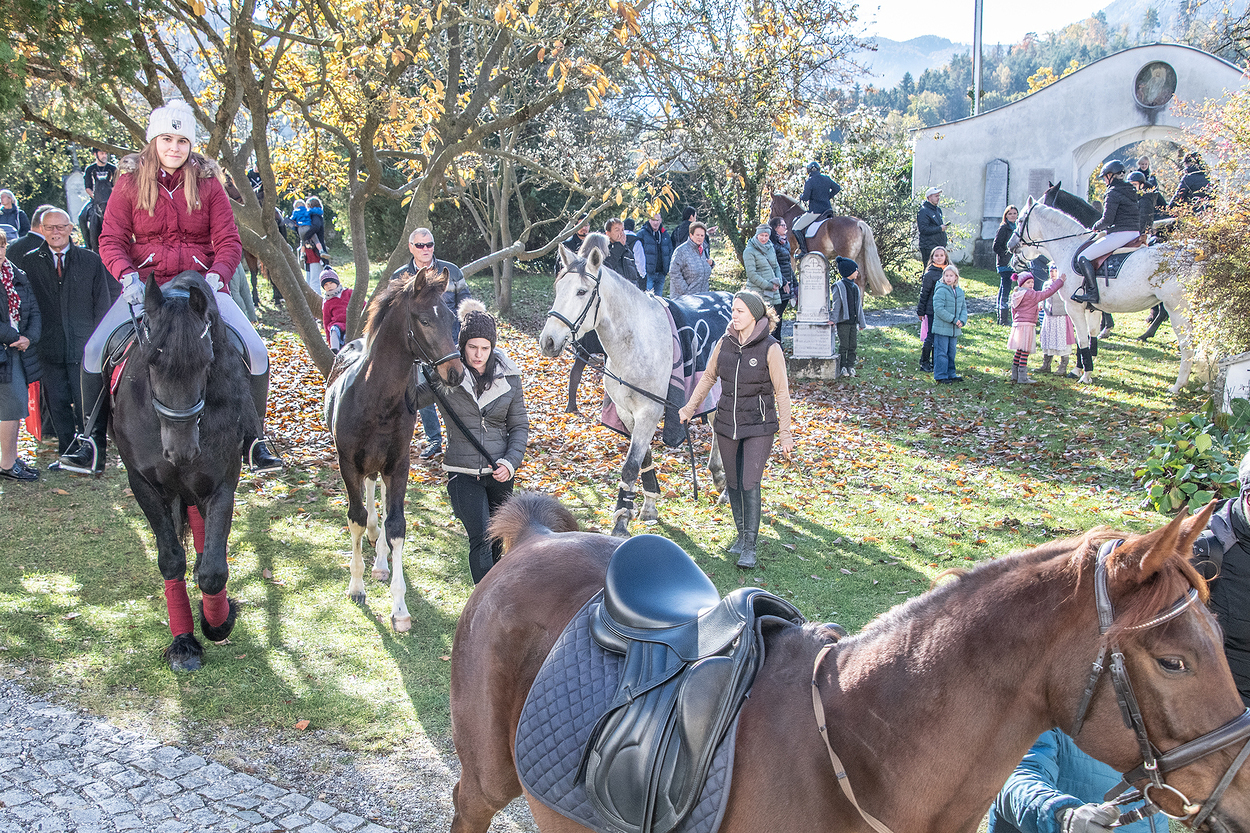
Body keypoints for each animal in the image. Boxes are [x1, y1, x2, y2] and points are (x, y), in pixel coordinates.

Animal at [111, 272, 251, 672]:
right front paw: (184, 642)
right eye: (152, 360)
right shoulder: (144, 484)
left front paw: (218, 620)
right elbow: (171, 559)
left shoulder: (222, 483)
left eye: (207, 361)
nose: (182, 450)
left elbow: (214, 571)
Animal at [324, 265, 464, 631]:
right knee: (368, 498)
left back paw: (382, 560)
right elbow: (356, 518)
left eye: (451, 318)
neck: (376, 399)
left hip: (383, 464)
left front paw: (399, 608)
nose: (455, 373)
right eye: (424, 320)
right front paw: (356, 586)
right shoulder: (347, 464)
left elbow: (397, 525)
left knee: (380, 496)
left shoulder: (399, 465)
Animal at [539, 236, 727, 538]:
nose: (548, 341)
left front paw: (621, 521)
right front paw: (649, 505)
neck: (636, 343)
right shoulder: (628, 413)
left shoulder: (649, 413)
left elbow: (630, 467)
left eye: (581, 291)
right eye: (559, 288)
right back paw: (719, 477)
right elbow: (644, 460)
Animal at [1009, 196, 1198, 393]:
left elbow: (1082, 340)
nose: (1010, 246)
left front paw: (1085, 376)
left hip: (1177, 310)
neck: (1068, 247)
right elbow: (1090, 337)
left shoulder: (1074, 308)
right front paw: (1079, 370)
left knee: (1187, 346)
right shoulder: (1092, 309)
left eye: (1020, 220)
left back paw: (1177, 385)